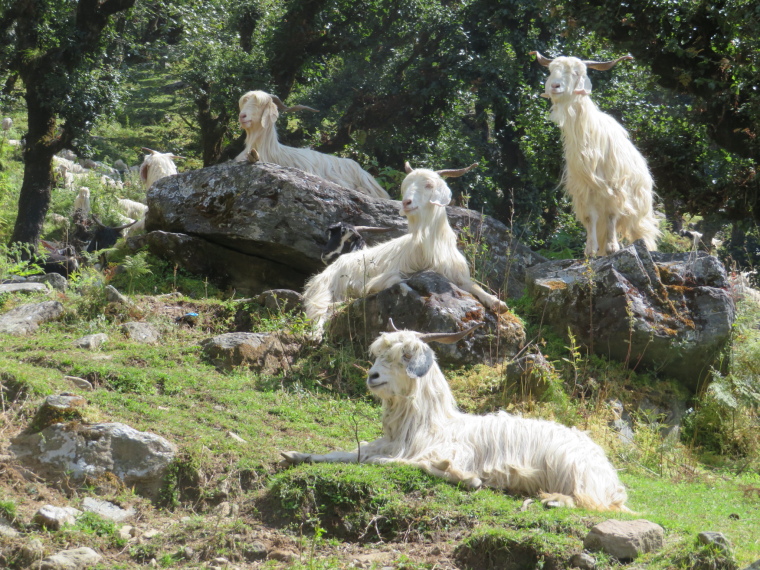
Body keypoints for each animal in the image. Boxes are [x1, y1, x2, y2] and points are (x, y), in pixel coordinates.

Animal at [282, 322, 632, 512]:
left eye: (406, 355)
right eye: (379, 354)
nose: (373, 376)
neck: (429, 424)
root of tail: (608, 473)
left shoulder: (448, 452)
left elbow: (390, 462)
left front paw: (470, 480)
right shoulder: (384, 445)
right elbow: (346, 453)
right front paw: (295, 454)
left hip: (576, 473)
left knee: (592, 503)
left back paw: (554, 501)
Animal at [532, 51, 664, 255]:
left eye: (576, 72)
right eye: (551, 70)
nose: (554, 86)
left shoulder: (615, 188)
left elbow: (612, 215)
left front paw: (612, 248)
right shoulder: (585, 190)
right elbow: (589, 218)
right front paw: (590, 250)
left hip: (640, 207)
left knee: (640, 230)